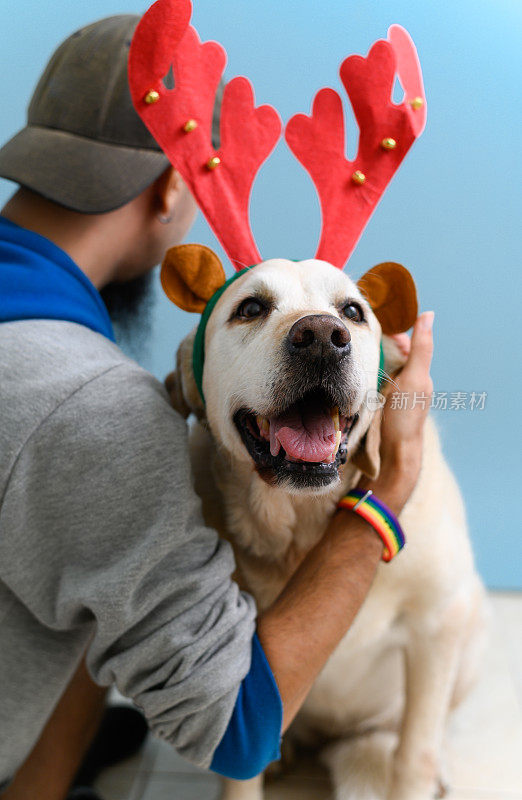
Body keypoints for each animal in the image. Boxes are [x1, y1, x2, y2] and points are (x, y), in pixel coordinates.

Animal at [165, 252, 486, 800]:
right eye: (250, 307)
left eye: (352, 312)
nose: (320, 336)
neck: (305, 525)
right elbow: (239, 770)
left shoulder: (439, 621)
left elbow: (414, 755)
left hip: (472, 627)